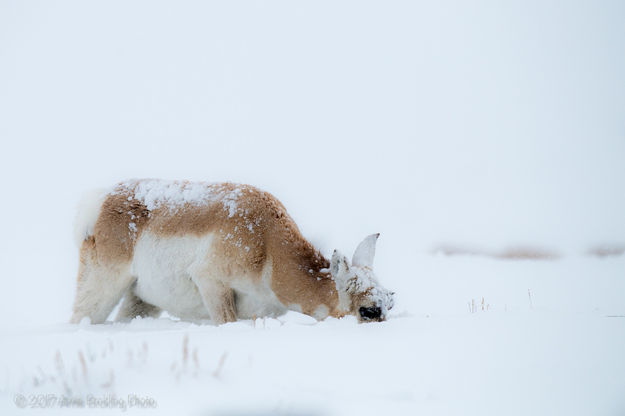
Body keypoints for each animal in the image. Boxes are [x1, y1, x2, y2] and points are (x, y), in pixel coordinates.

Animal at [70, 180, 392, 324]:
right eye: (368, 310)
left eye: (390, 301)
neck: (268, 244)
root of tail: (102, 200)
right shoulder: (212, 283)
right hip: (102, 287)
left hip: (141, 300)